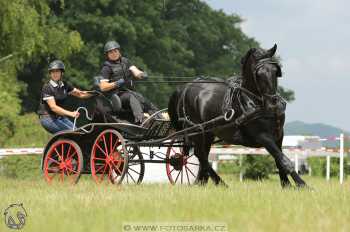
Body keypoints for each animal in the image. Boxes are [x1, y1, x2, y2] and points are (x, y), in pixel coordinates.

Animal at [168, 44, 308, 188]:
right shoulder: (263, 136)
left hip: (207, 133)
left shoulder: (279, 135)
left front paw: (287, 185)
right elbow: (284, 160)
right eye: (258, 74)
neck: (255, 102)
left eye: (275, 71)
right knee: (200, 154)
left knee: (202, 155)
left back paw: (202, 182)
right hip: (196, 130)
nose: (273, 104)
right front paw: (302, 184)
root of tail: (185, 87)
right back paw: (219, 182)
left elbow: (279, 159)